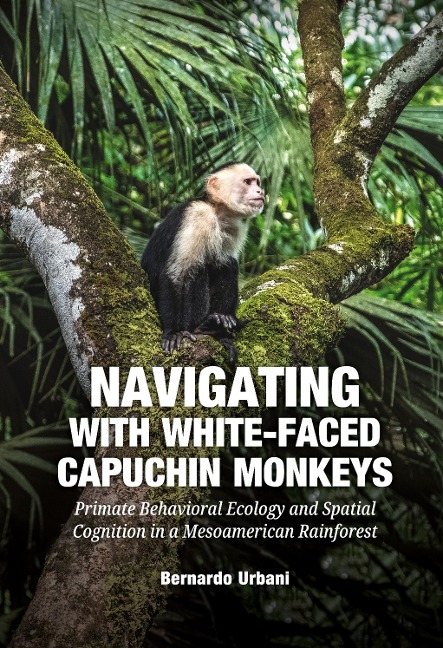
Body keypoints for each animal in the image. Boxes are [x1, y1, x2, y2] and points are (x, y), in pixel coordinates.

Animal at [141, 162, 264, 362]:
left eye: (257, 182)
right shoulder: (198, 215)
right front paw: (172, 332)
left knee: (227, 263)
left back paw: (220, 324)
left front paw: (225, 333)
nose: (261, 191)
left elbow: (222, 263)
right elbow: (177, 273)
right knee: (196, 268)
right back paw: (199, 326)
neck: (216, 210)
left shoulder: (234, 228)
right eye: (248, 182)